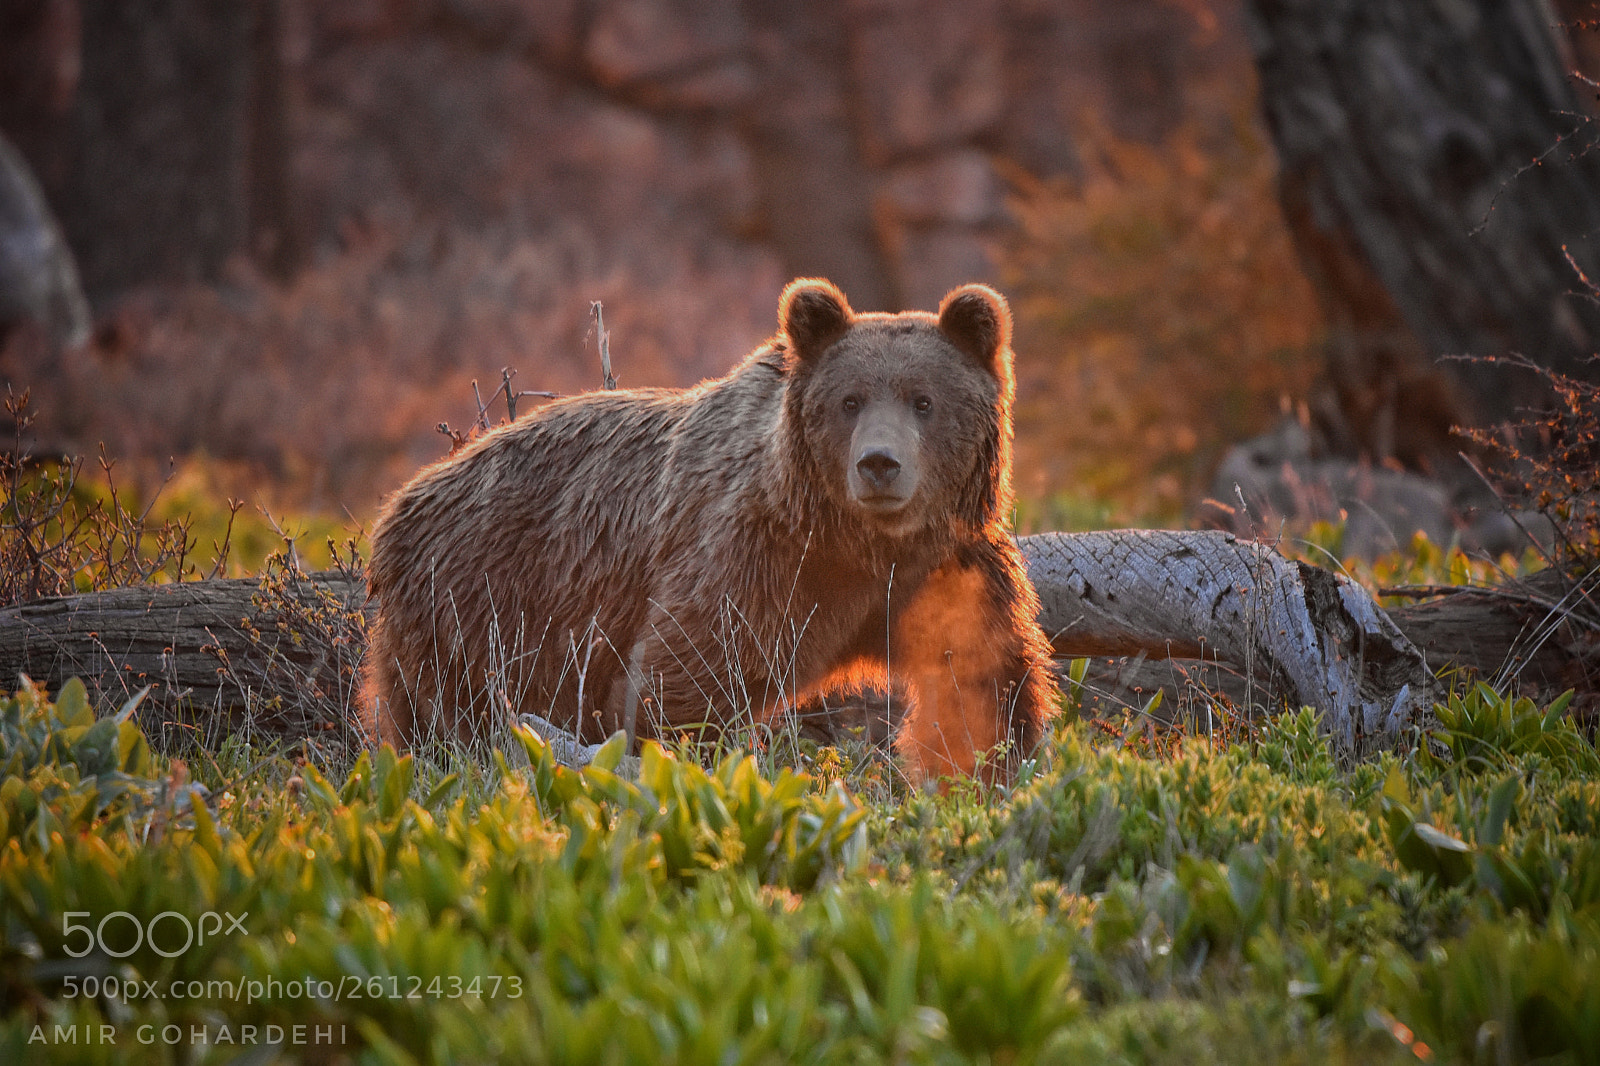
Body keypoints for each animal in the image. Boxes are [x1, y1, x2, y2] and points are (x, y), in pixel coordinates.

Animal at [362, 278, 1058, 783]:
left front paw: (988, 770)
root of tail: (404, 501)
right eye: (850, 400)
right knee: (452, 717)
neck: (861, 543)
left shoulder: (948, 565)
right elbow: (690, 671)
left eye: (924, 401)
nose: (879, 464)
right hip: (485, 606)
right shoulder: (755, 554)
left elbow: (981, 677)